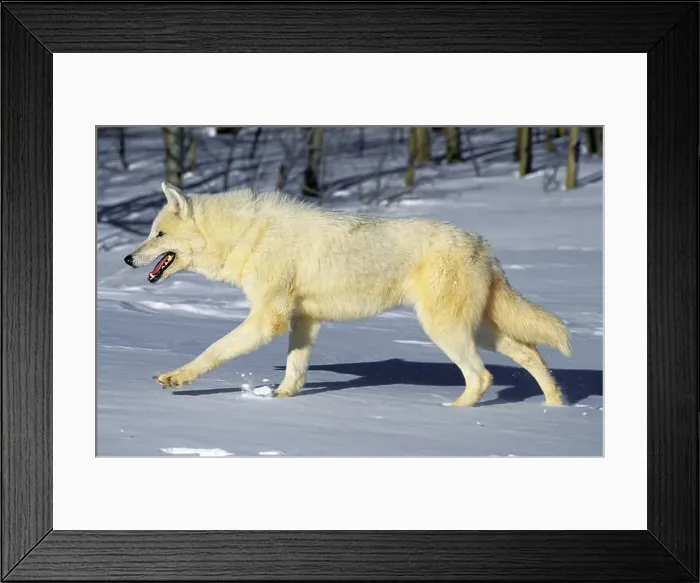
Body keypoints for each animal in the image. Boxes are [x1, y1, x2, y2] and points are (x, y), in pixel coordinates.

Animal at [123, 182, 571, 407]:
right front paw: (281, 399)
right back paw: (554, 407)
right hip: (480, 331)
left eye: (158, 234)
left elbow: (213, 350)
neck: (248, 236)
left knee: (482, 377)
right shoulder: (303, 321)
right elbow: (296, 369)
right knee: (531, 354)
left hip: (447, 331)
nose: (127, 258)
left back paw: (454, 413)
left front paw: (177, 377)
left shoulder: (269, 319)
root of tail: (482, 245)